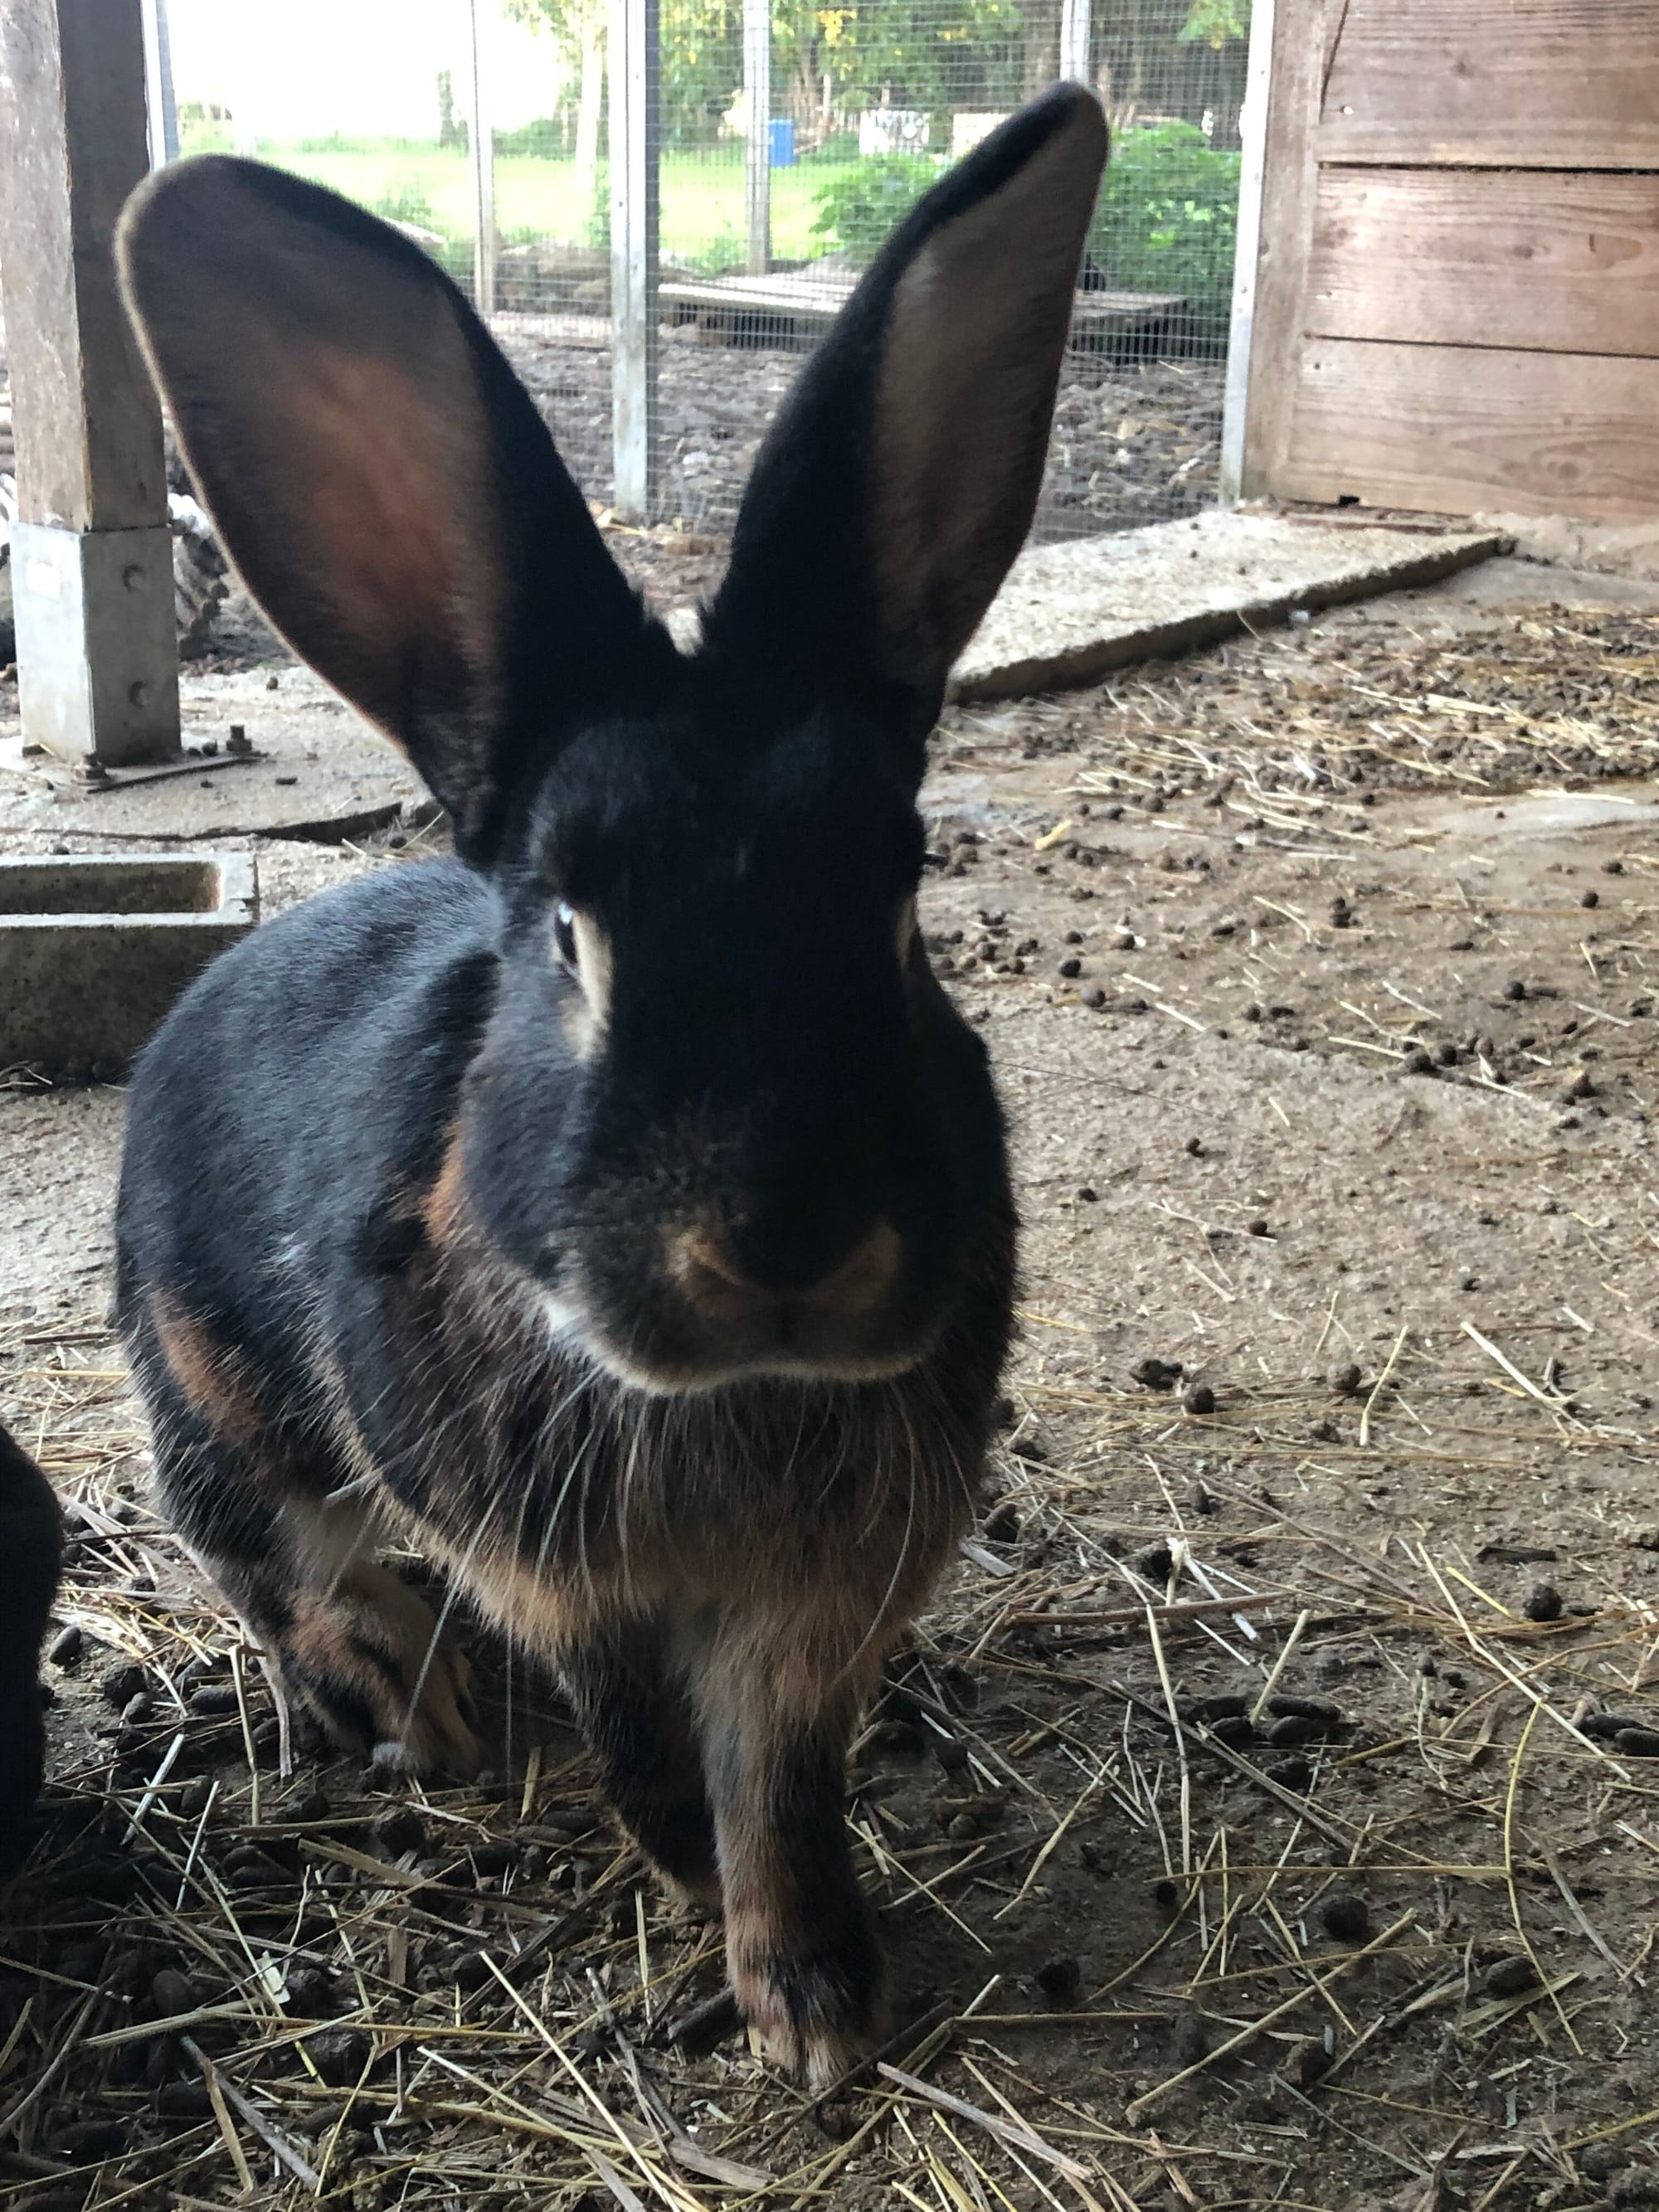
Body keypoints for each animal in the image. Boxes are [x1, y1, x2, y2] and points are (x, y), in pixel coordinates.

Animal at [112, 85, 1108, 2084]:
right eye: (566, 938)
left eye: (901, 907)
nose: (785, 1243)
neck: (732, 1397)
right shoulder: (557, 1573)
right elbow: (646, 1749)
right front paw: (688, 1886)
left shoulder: (816, 1610)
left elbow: (780, 1784)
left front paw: (813, 2002)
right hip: (209, 1401)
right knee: (277, 1570)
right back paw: (412, 1706)